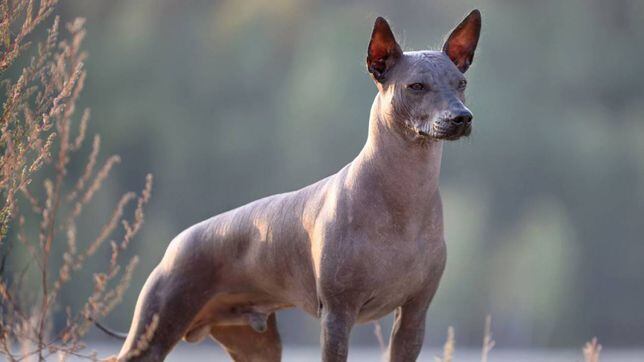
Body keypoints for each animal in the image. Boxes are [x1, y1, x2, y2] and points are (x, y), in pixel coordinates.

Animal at [115, 9, 480, 362]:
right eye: (416, 86)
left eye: (461, 83)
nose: (462, 116)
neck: (404, 196)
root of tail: (175, 244)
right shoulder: (337, 316)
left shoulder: (414, 316)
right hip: (154, 333)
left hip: (255, 345)